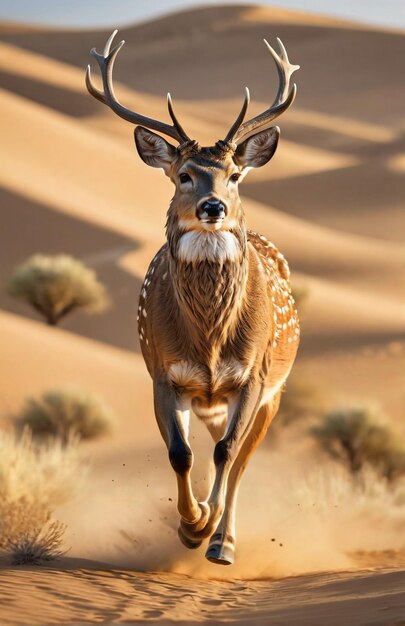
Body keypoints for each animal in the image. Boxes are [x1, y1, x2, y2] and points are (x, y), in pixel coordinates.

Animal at [86, 30, 300, 564]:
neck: (209, 341)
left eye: (235, 175)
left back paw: (224, 541)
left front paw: (209, 530)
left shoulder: (254, 376)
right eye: (183, 174)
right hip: (210, 401)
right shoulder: (164, 373)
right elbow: (180, 453)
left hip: (273, 392)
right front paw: (190, 524)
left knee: (240, 458)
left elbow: (227, 454)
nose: (213, 206)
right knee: (216, 449)